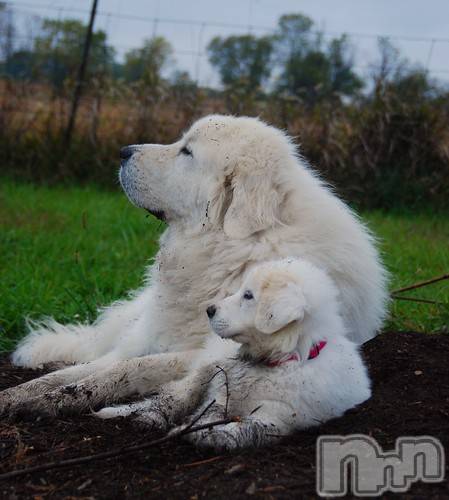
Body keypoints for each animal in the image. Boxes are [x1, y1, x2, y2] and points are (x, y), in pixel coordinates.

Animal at [0, 115, 384, 416]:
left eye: (187, 151)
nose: (123, 151)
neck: (230, 248)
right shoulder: (146, 339)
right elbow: (71, 374)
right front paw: (20, 395)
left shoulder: (203, 352)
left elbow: (126, 369)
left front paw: (56, 401)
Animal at [95, 258, 372, 454]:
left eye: (248, 295)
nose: (209, 309)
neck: (270, 361)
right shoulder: (220, 392)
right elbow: (207, 413)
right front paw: (189, 428)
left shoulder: (276, 416)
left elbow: (246, 429)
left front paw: (209, 436)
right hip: (209, 367)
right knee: (174, 394)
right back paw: (149, 416)